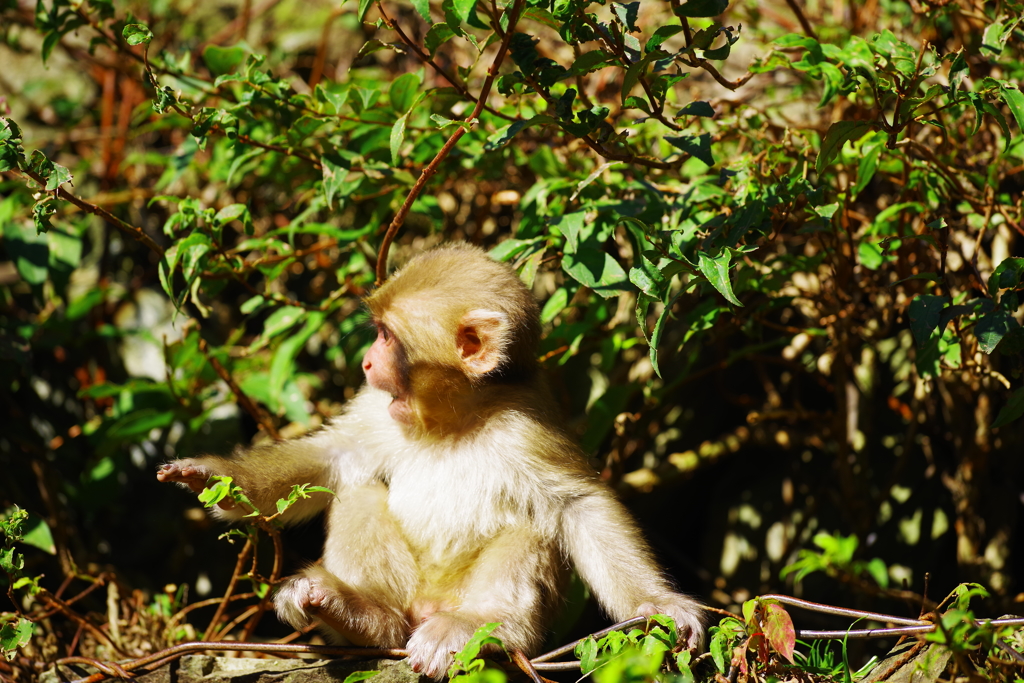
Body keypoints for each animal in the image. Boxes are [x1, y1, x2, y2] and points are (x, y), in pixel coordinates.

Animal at [159, 245, 704, 679]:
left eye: (386, 336)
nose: (365, 361)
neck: (454, 420)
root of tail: (428, 604)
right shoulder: (381, 410)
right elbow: (336, 456)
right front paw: (213, 477)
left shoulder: (527, 427)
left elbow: (578, 503)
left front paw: (662, 605)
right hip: (408, 591)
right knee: (361, 493)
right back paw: (363, 615)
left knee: (532, 526)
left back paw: (477, 627)